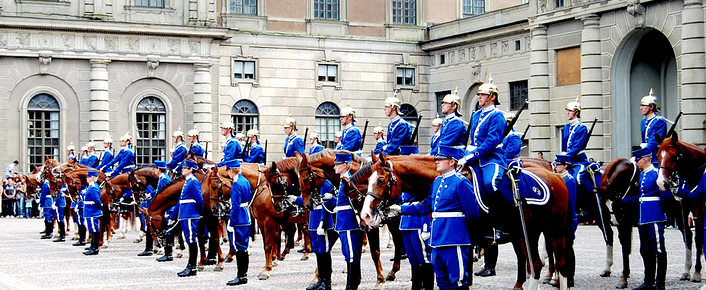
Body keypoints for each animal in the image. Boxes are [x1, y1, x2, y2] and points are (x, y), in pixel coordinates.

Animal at [294, 151, 398, 286]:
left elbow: (374, 252)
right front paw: (319, 276)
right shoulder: (342, 225)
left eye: (306, 179)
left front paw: (380, 279)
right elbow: (331, 248)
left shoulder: (369, 225)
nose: (307, 205)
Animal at [358, 154, 572, 290]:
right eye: (368, 180)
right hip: (528, 233)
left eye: (381, 180)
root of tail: (556, 176)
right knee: (534, 264)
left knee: (557, 264)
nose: (366, 215)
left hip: (554, 230)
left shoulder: (463, 242)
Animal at [652, 133, 700, 284]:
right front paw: (686, 270)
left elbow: (699, 238)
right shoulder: (682, 210)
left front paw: (697, 272)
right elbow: (688, 237)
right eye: (658, 154)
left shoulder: (699, 209)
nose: (661, 183)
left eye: (674, 156)